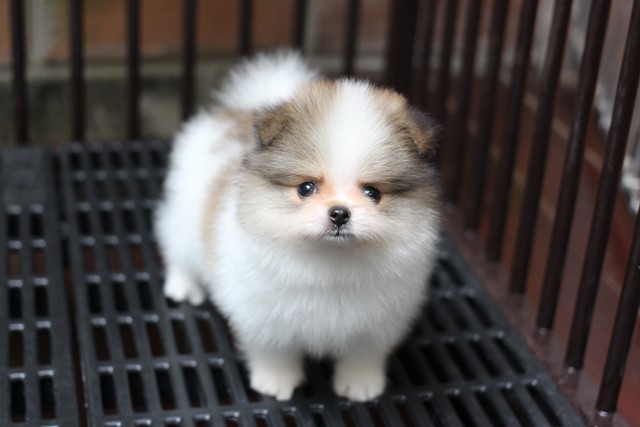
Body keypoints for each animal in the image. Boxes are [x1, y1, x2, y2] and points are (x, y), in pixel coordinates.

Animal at [154, 51, 441, 402]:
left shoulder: (377, 323)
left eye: (373, 193)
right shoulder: (263, 317)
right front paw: (276, 382)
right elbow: (273, 351)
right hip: (184, 216)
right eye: (306, 188)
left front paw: (360, 384)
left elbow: (363, 353)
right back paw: (183, 285)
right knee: (177, 249)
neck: (331, 262)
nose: (339, 213)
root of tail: (241, 110)